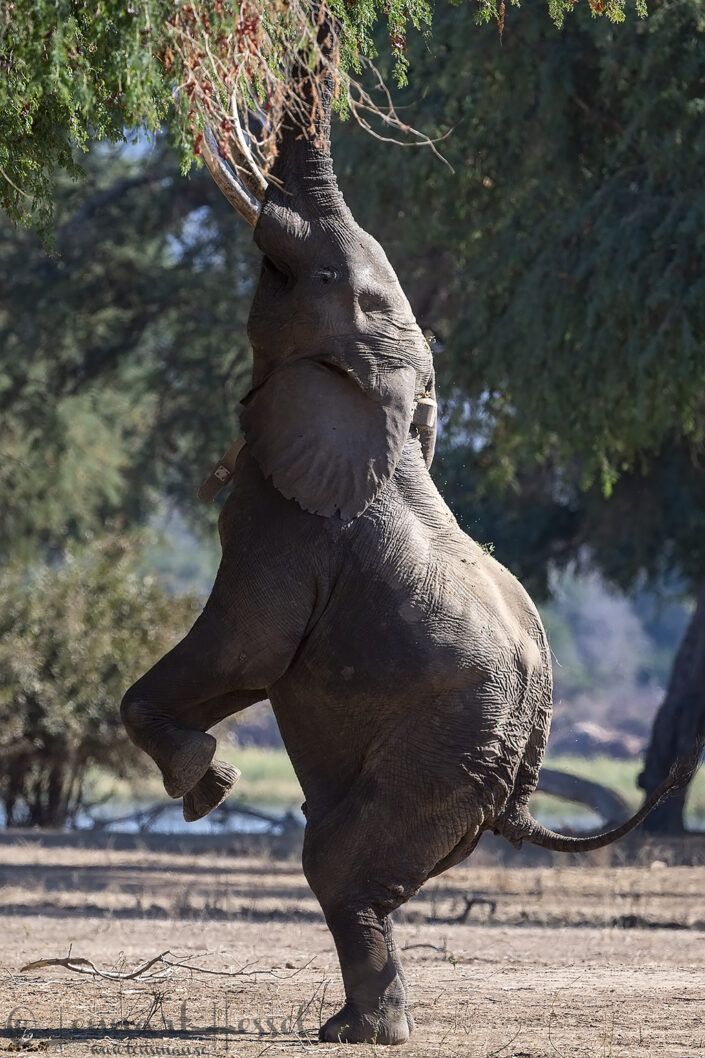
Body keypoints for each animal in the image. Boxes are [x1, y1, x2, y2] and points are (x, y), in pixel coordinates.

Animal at [121, 40, 692, 1046]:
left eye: (317, 277)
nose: (308, 44)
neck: (383, 398)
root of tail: (519, 802)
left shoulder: (282, 525)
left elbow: (249, 648)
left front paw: (210, 783)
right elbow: (244, 663)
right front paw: (209, 779)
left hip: (444, 747)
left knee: (337, 863)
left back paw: (363, 1034)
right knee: (359, 867)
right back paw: (350, 1025)